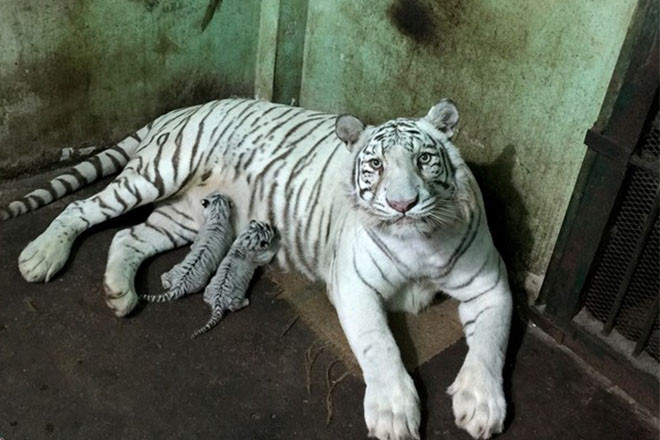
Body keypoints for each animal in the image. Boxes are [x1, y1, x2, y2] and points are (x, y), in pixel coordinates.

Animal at [2, 97, 512, 440]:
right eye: (375, 165)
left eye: (425, 159)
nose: (403, 204)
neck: (419, 241)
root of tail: (189, 106)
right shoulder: (355, 285)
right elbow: (379, 345)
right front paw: (392, 411)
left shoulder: (491, 285)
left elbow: (490, 345)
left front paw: (480, 405)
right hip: (157, 174)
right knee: (81, 209)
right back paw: (41, 256)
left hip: (186, 216)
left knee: (126, 237)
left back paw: (119, 293)